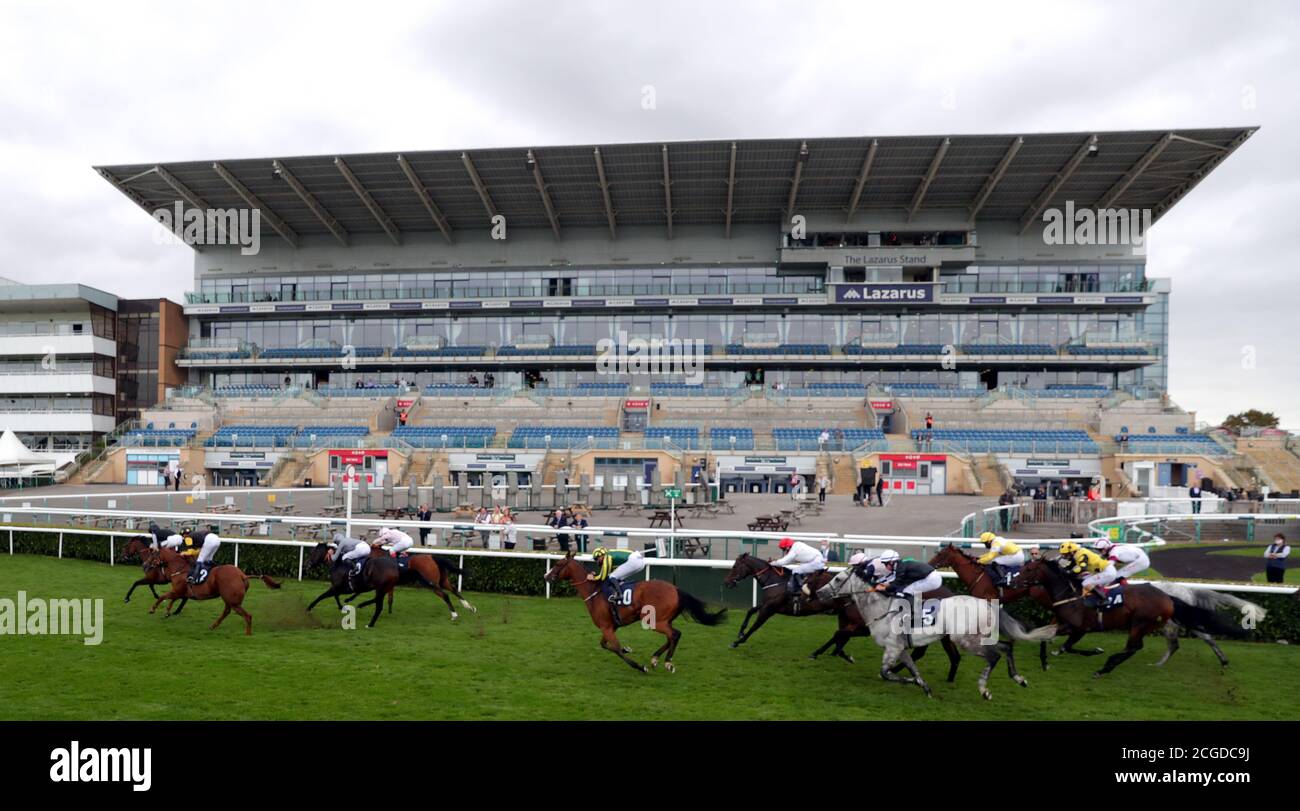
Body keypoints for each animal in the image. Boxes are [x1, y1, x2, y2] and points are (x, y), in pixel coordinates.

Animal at [144, 548, 282, 636]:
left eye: (152, 556)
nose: (144, 564)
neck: (180, 569)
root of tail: (242, 575)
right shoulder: (180, 592)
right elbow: (170, 599)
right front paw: (167, 612)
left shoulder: (178, 591)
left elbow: (163, 596)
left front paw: (153, 609)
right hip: (228, 599)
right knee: (227, 611)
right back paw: (213, 626)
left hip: (233, 601)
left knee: (247, 616)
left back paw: (247, 634)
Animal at [543, 548, 728, 675]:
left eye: (558, 564)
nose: (546, 576)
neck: (594, 592)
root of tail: (676, 589)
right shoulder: (610, 627)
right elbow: (605, 645)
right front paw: (628, 649)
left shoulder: (607, 628)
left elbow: (616, 649)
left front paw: (639, 666)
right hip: (663, 620)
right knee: (672, 636)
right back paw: (656, 659)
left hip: (653, 620)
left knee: (675, 634)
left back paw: (667, 662)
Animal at [821, 564, 1055, 701]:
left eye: (837, 579)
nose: (820, 592)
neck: (881, 609)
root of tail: (988, 604)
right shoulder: (901, 648)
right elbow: (913, 668)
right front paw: (924, 687)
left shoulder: (892, 648)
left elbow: (886, 673)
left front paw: (909, 682)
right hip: (979, 638)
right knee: (1006, 647)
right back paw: (1019, 678)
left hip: (966, 641)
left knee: (994, 656)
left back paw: (984, 690)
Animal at [1013, 556, 1248, 675]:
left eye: (1029, 569)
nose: (1013, 581)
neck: (1072, 594)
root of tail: (1168, 596)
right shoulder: (1064, 624)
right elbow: (1049, 639)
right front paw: (1045, 660)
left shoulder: (1078, 628)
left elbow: (1063, 644)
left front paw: (1094, 652)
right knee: (1144, 646)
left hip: (1141, 624)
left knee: (1135, 647)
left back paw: (1106, 667)